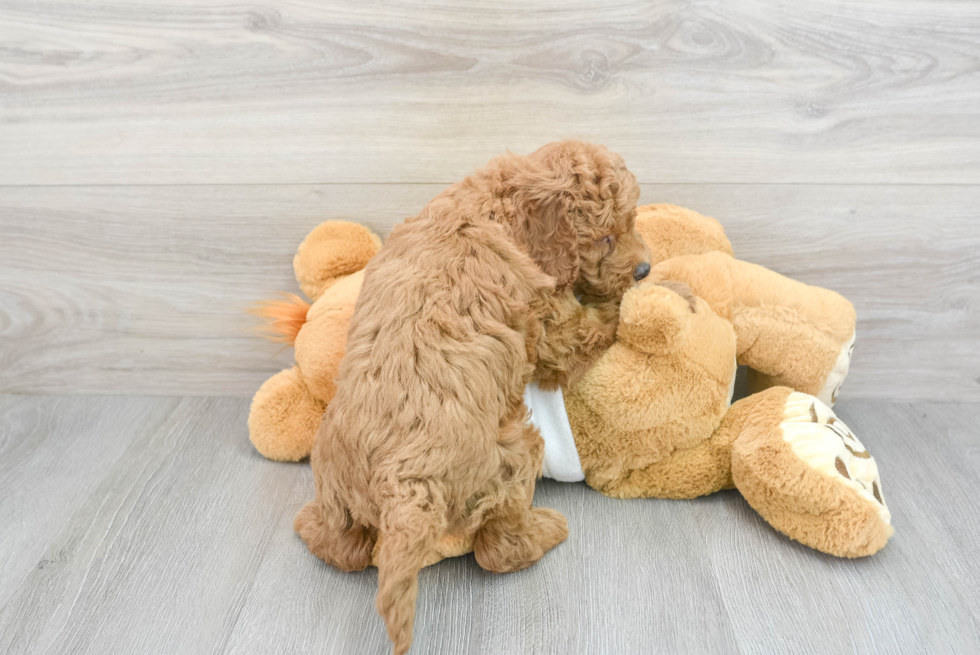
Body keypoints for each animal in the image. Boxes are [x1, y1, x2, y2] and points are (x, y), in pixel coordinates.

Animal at [294, 140, 656, 655]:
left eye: (632, 221)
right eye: (605, 237)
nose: (645, 268)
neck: (494, 205)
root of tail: (403, 483)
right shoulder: (549, 321)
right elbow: (587, 328)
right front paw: (656, 294)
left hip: (333, 474)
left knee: (343, 547)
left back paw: (311, 526)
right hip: (514, 456)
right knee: (500, 549)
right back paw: (545, 530)